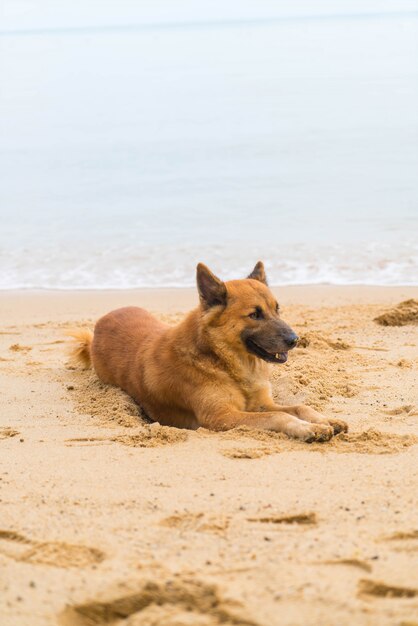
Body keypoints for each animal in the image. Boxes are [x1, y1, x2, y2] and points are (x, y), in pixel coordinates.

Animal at [70, 260, 348, 442]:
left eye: (277, 309)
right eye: (255, 314)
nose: (295, 340)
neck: (222, 360)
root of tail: (99, 326)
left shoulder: (260, 404)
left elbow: (300, 407)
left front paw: (325, 420)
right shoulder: (221, 417)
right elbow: (279, 417)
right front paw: (308, 429)